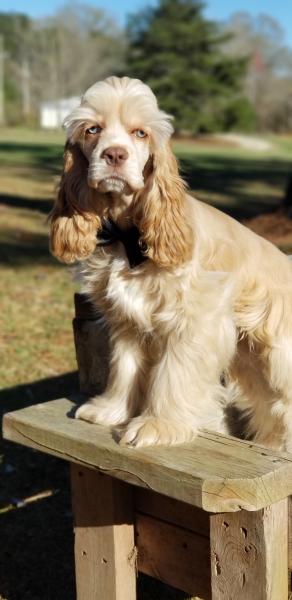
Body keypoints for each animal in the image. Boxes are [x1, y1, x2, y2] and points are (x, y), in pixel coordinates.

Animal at [49, 76, 292, 450]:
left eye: (140, 133)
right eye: (93, 129)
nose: (114, 154)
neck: (128, 236)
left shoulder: (195, 319)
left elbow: (174, 374)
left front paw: (157, 425)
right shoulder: (127, 320)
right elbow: (125, 368)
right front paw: (110, 410)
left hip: (279, 354)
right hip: (251, 359)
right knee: (269, 409)